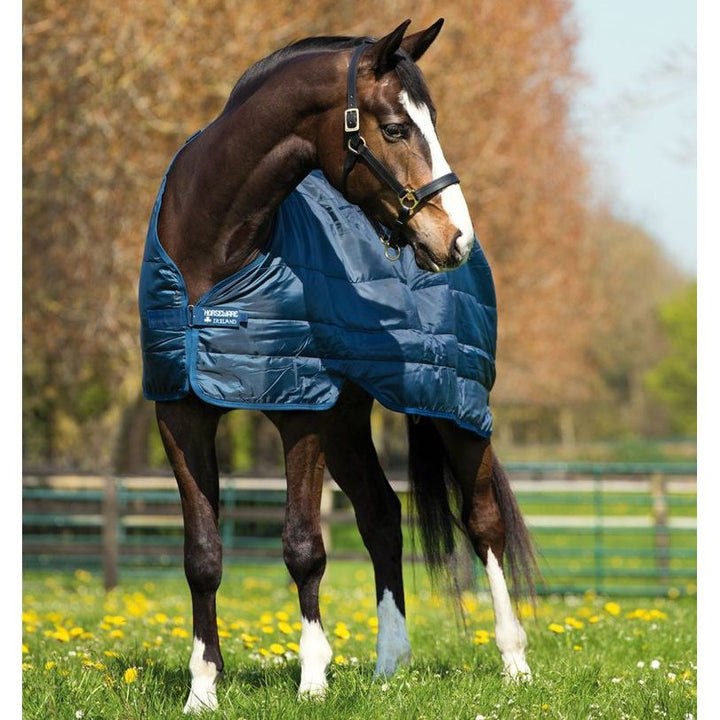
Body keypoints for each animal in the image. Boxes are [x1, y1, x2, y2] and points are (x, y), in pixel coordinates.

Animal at [141, 19, 537, 714]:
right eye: (397, 128)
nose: (455, 238)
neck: (213, 257)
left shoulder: (300, 411)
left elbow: (303, 546)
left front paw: (313, 681)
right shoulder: (181, 412)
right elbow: (202, 554)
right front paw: (203, 689)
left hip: (455, 404)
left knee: (483, 522)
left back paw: (513, 661)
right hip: (349, 422)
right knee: (382, 517)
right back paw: (390, 664)